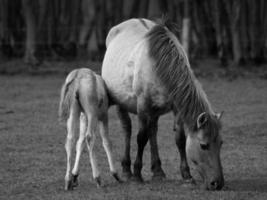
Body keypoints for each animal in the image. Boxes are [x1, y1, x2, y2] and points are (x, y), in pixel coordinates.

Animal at [101, 18, 225, 191]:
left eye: (221, 143)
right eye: (203, 145)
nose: (217, 183)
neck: (159, 64)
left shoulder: (176, 108)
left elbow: (179, 139)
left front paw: (187, 175)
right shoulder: (143, 106)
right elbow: (141, 138)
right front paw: (137, 174)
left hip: (154, 111)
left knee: (153, 131)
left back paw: (158, 171)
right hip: (122, 103)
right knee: (128, 129)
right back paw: (127, 171)